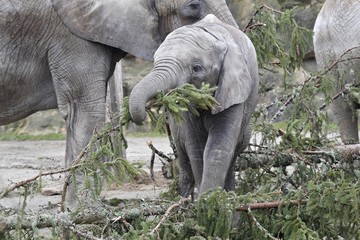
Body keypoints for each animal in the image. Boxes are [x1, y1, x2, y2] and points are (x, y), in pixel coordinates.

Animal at [128, 15, 258, 199]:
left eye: (196, 68)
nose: (139, 117)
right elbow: (197, 149)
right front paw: (204, 200)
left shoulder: (233, 92)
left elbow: (217, 148)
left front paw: (210, 200)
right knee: (184, 156)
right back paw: (184, 199)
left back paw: (229, 195)